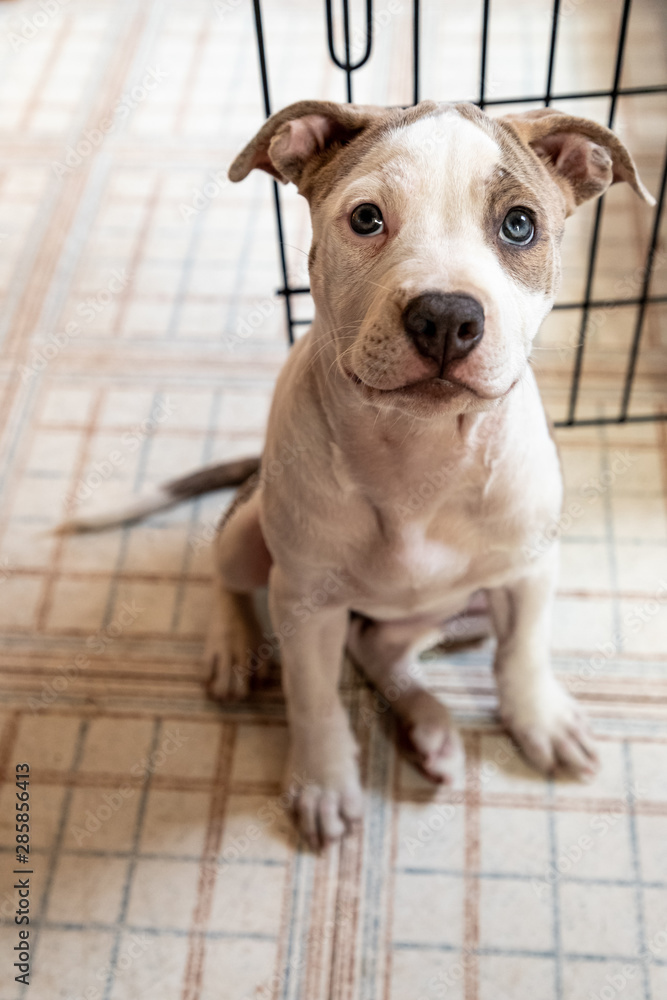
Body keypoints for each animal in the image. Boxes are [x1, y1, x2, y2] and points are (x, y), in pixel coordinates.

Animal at [65, 99, 656, 844]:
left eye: (519, 224)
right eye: (367, 218)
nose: (445, 316)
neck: (419, 452)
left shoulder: (527, 571)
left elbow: (522, 652)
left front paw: (539, 720)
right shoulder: (305, 603)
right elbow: (313, 697)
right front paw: (323, 783)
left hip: (463, 607)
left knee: (383, 647)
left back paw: (431, 728)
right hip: (252, 530)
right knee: (229, 573)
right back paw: (233, 647)